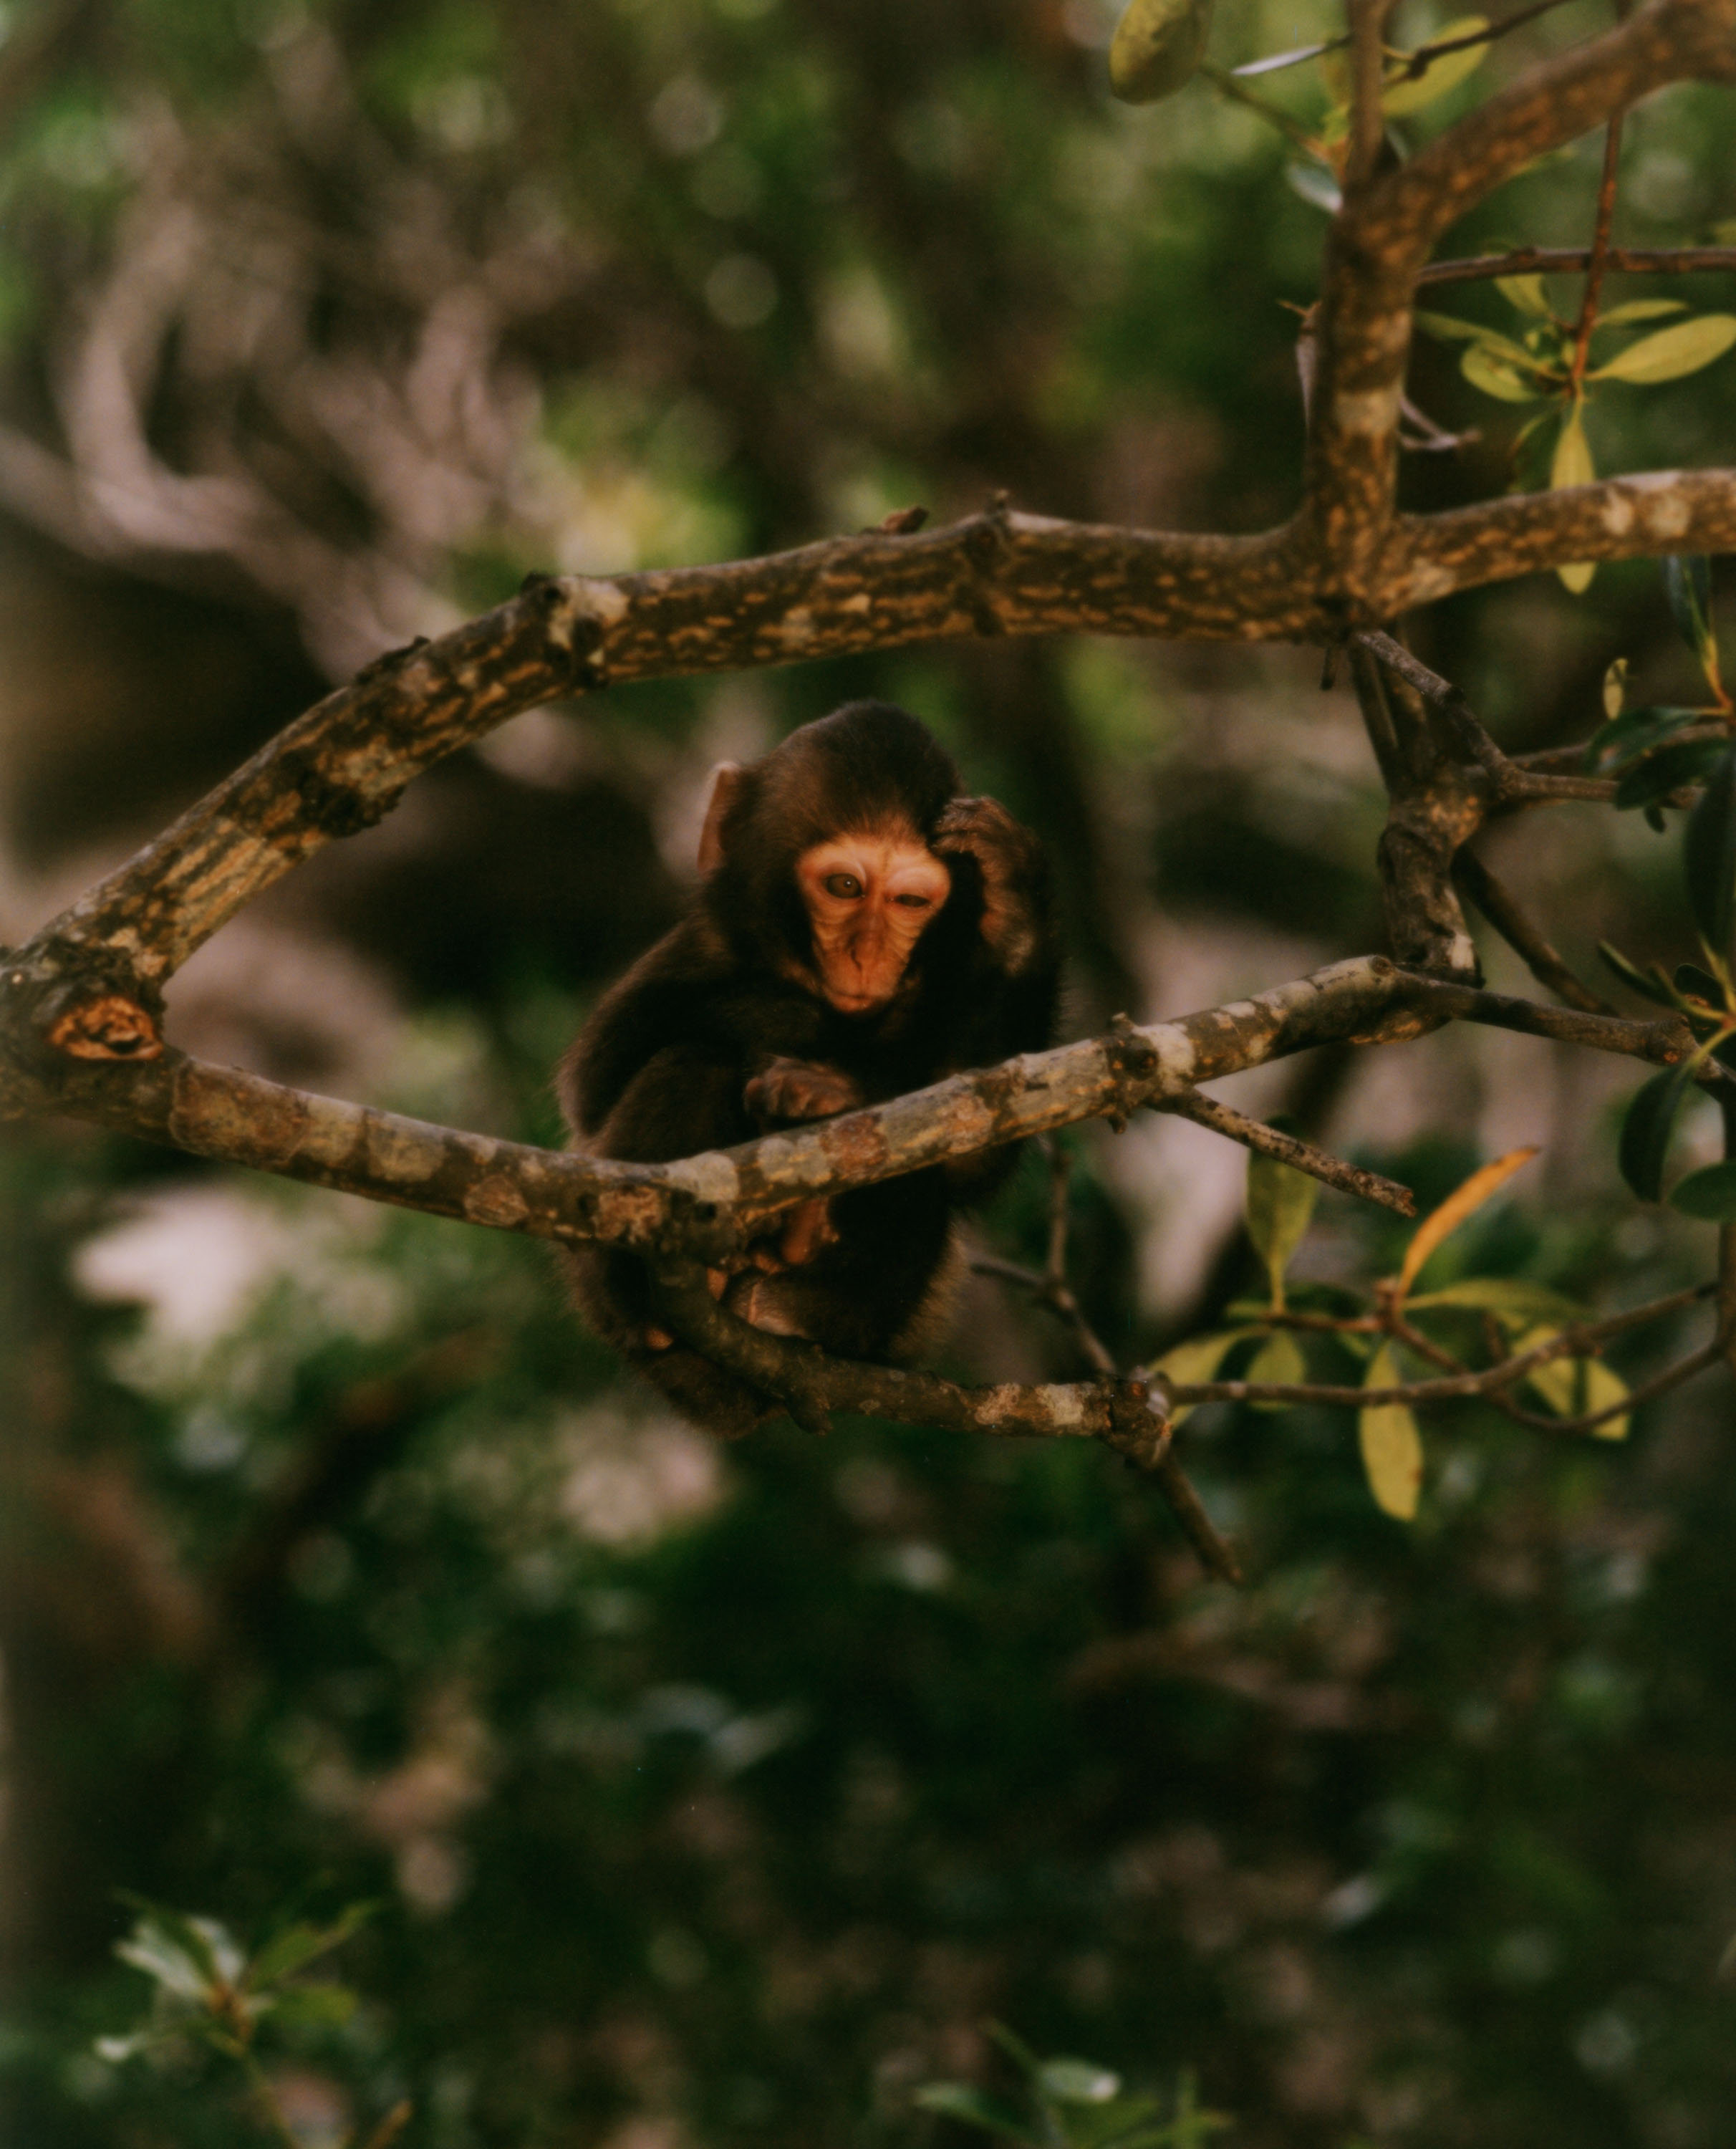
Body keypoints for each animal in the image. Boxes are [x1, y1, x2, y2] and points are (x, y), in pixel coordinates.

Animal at [563, 705, 1057, 1436]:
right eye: (845, 887)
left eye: (909, 902)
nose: (867, 954)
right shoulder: (704, 941)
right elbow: (596, 1084)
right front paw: (798, 1044)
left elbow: (973, 1143)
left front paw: (1014, 901)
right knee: (688, 1064)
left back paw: (800, 1295)